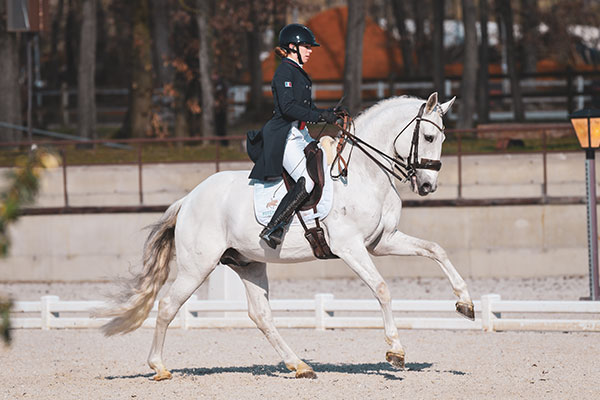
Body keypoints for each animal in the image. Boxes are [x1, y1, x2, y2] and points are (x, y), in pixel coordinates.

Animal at [98, 92, 474, 380]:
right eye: (429, 138)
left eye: (443, 139)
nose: (427, 186)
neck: (366, 174)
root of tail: (188, 199)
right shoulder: (350, 247)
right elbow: (382, 289)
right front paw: (395, 351)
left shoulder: (382, 242)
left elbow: (436, 249)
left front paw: (465, 304)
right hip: (197, 267)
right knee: (167, 306)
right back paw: (159, 368)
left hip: (247, 263)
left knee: (261, 316)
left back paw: (300, 365)